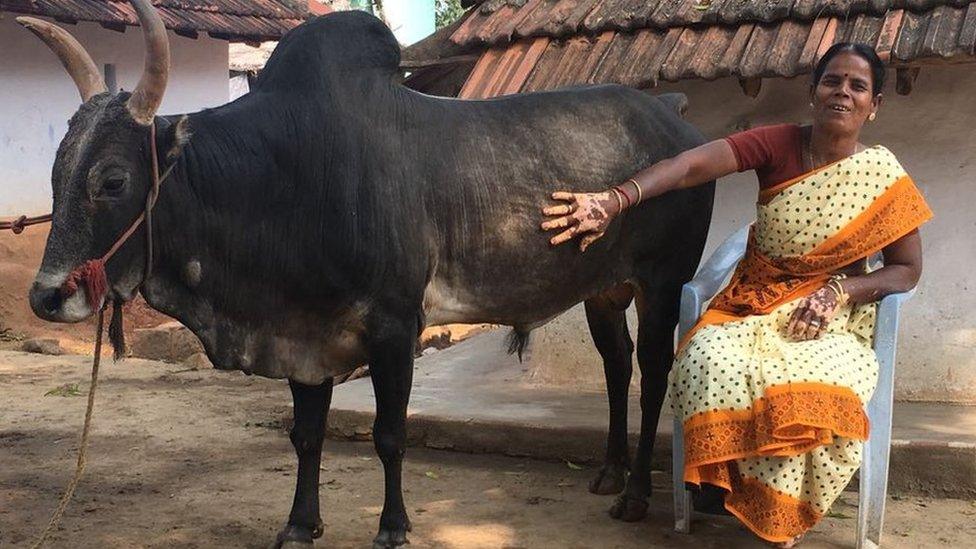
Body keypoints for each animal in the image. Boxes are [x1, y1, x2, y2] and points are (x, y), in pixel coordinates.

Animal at [19, 2, 712, 544]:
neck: (283, 178)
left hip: (662, 282)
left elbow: (389, 434)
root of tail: (676, 113)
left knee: (653, 376)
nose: (48, 296)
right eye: (56, 170)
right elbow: (305, 435)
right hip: (604, 289)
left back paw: (635, 496)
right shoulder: (303, 333)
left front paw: (393, 527)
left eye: (113, 180)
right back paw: (610, 474)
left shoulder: (394, 327)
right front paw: (300, 524)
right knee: (617, 364)